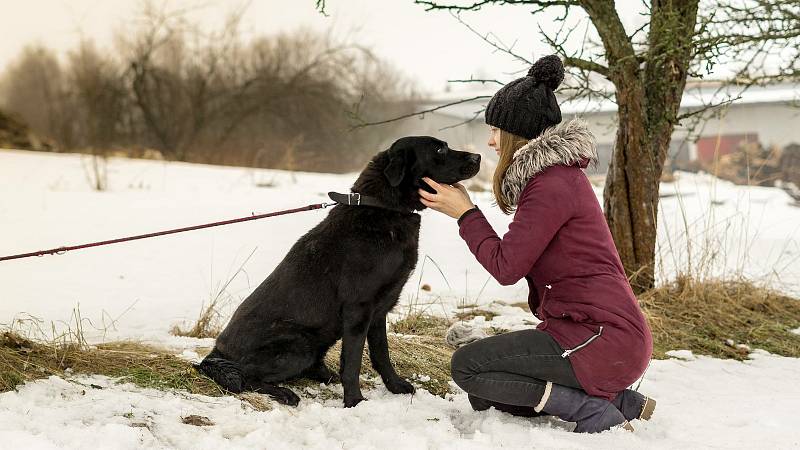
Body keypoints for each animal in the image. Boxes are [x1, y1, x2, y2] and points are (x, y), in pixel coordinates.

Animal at [197, 137, 478, 408]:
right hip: (300, 345)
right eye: (439, 149)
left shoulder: (379, 310)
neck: (383, 207)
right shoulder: (358, 309)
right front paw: (354, 401)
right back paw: (285, 393)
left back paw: (324, 376)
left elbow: (381, 355)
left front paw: (395, 386)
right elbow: (352, 363)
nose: (478, 157)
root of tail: (215, 354)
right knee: (246, 376)